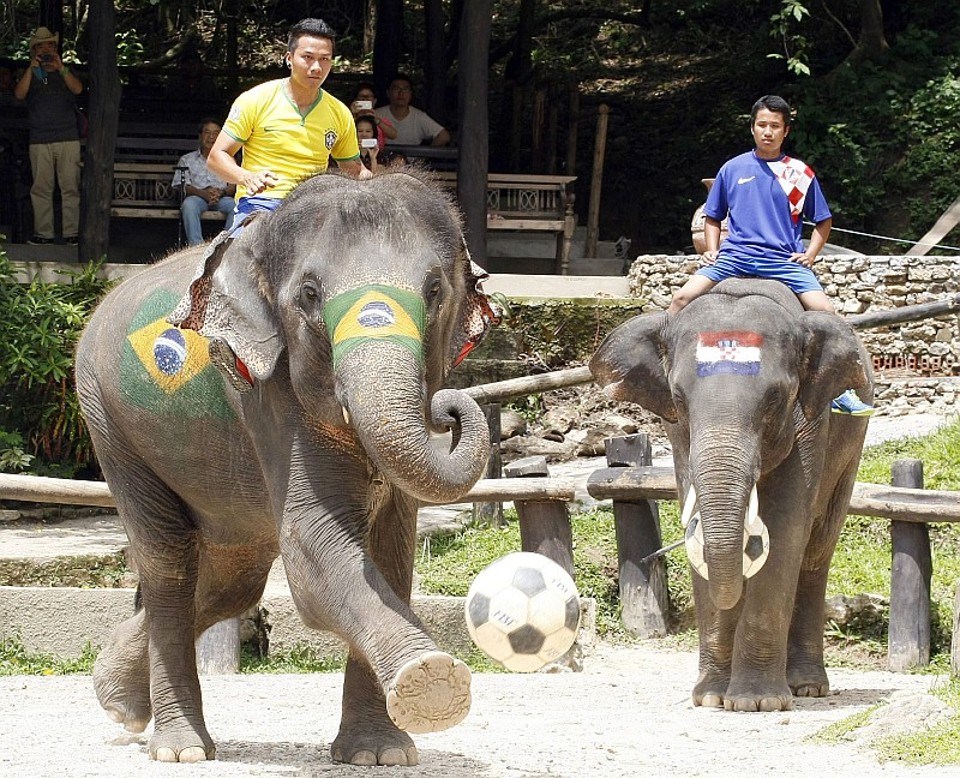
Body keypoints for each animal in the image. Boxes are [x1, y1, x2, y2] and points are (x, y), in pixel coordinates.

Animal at [74, 168, 499, 765]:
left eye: (435, 290)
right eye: (310, 294)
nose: (445, 407)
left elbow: (389, 552)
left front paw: (380, 754)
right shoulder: (265, 390)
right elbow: (312, 551)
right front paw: (431, 675)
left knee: (231, 581)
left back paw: (116, 699)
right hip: (111, 425)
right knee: (169, 565)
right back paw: (182, 750)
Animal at [590, 278, 873, 712]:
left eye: (775, 399)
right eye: (678, 398)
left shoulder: (811, 422)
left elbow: (785, 530)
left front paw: (759, 702)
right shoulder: (677, 434)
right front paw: (710, 697)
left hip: (851, 450)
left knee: (816, 550)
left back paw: (806, 687)